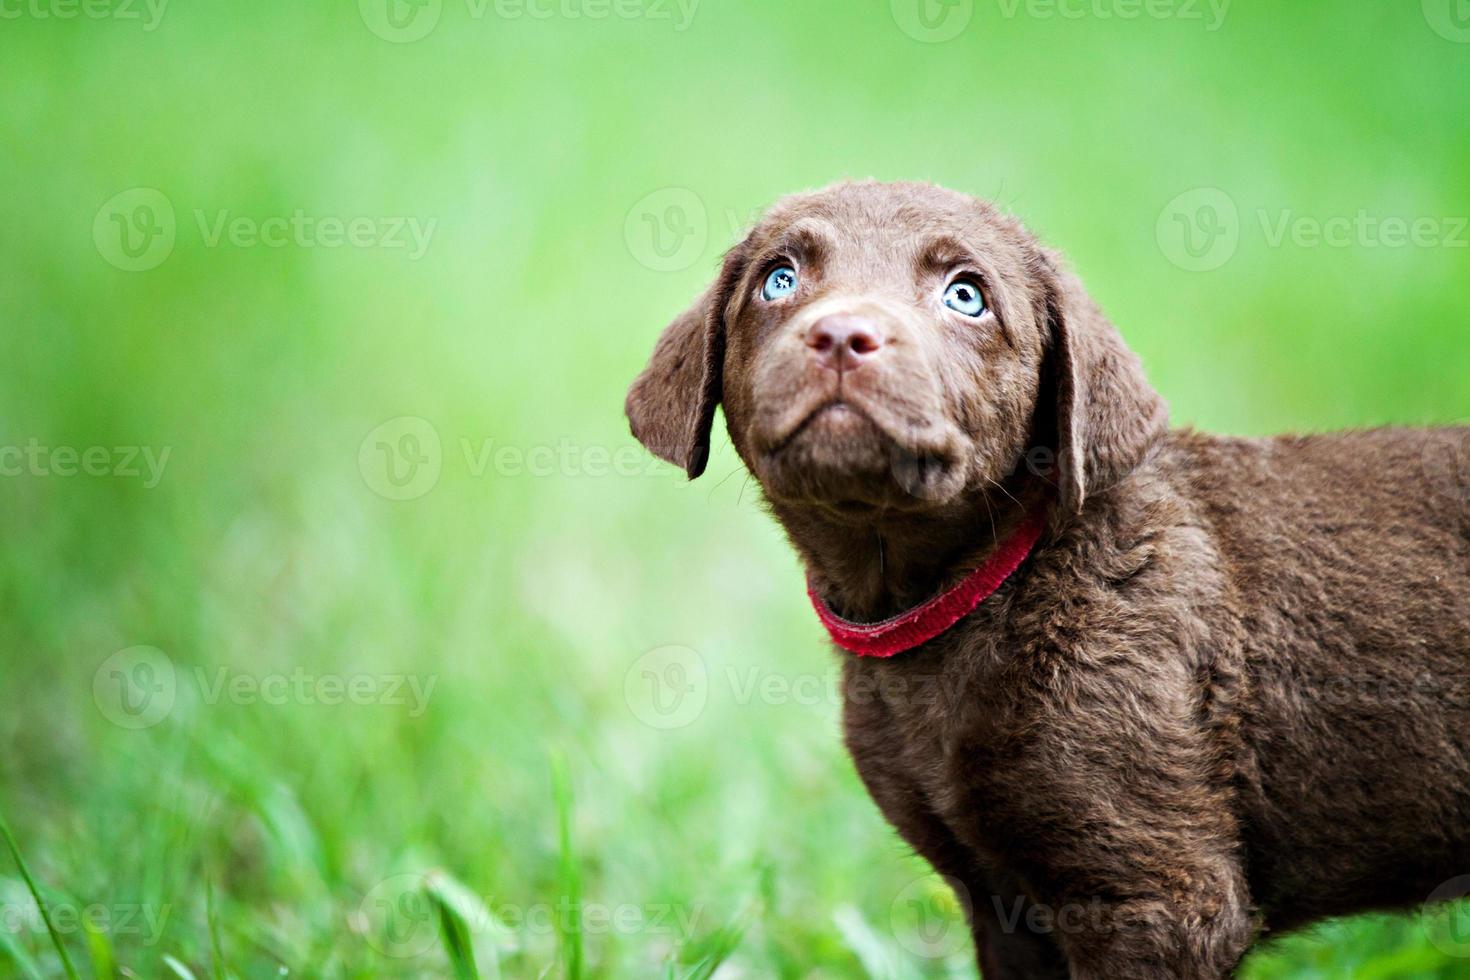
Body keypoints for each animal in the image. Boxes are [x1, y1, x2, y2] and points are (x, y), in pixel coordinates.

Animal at [623, 179, 1470, 975]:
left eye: (966, 295)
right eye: (779, 279)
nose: (840, 336)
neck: (975, 596)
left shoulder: (1162, 899)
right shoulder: (1002, 907)